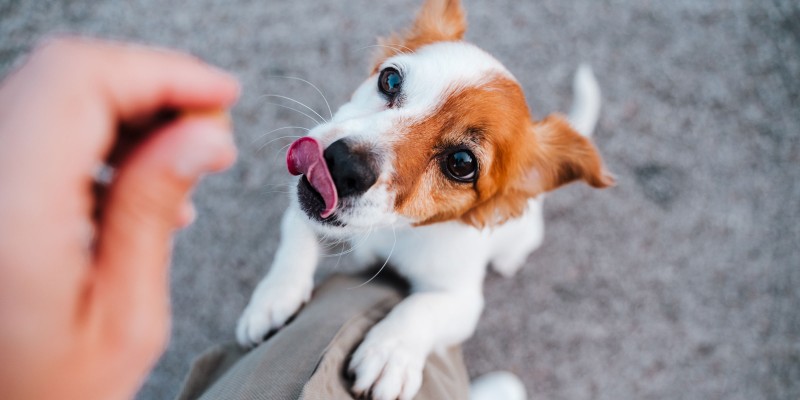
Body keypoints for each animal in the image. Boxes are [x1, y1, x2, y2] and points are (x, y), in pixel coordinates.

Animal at [236, 1, 612, 398]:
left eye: (461, 163)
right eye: (390, 80)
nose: (343, 165)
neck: (392, 230)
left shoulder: (463, 300)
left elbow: (423, 306)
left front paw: (390, 352)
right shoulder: (306, 212)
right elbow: (296, 238)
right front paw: (273, 298)